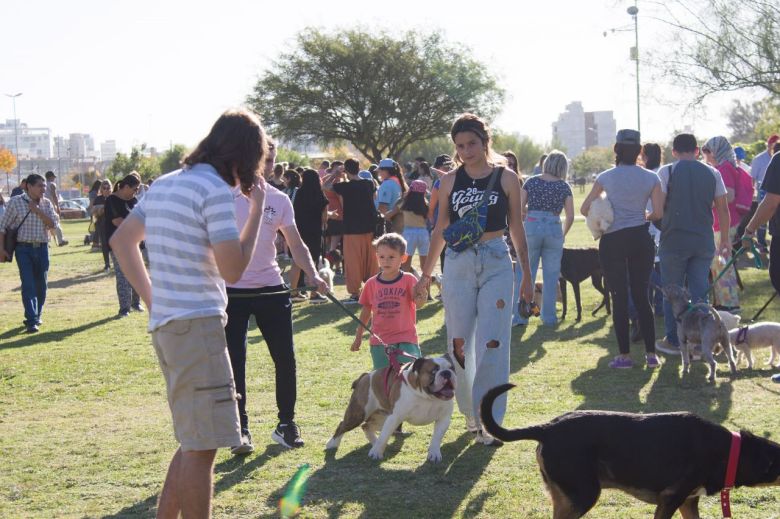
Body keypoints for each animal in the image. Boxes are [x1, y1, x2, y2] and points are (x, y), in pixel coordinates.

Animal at [324, 356, 458, 462]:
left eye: (452, 368)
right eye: (434, 371)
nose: (446, 372)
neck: (428, 397)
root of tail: (365, 376)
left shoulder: (443, 420)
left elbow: (436, 438)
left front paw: (434, 454)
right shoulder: (395, 417)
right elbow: (384, 436)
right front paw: (376, 453)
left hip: (382, 418)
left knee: (366, 426)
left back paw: (374, 441)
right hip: (358, 414)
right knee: (343, 425)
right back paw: (332, 443)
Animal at [482, 382, 780, 519]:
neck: (730, 451)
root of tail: (547, 427)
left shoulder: (688, 501)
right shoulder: (671, 498)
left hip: (566, 497)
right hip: (583, 495)